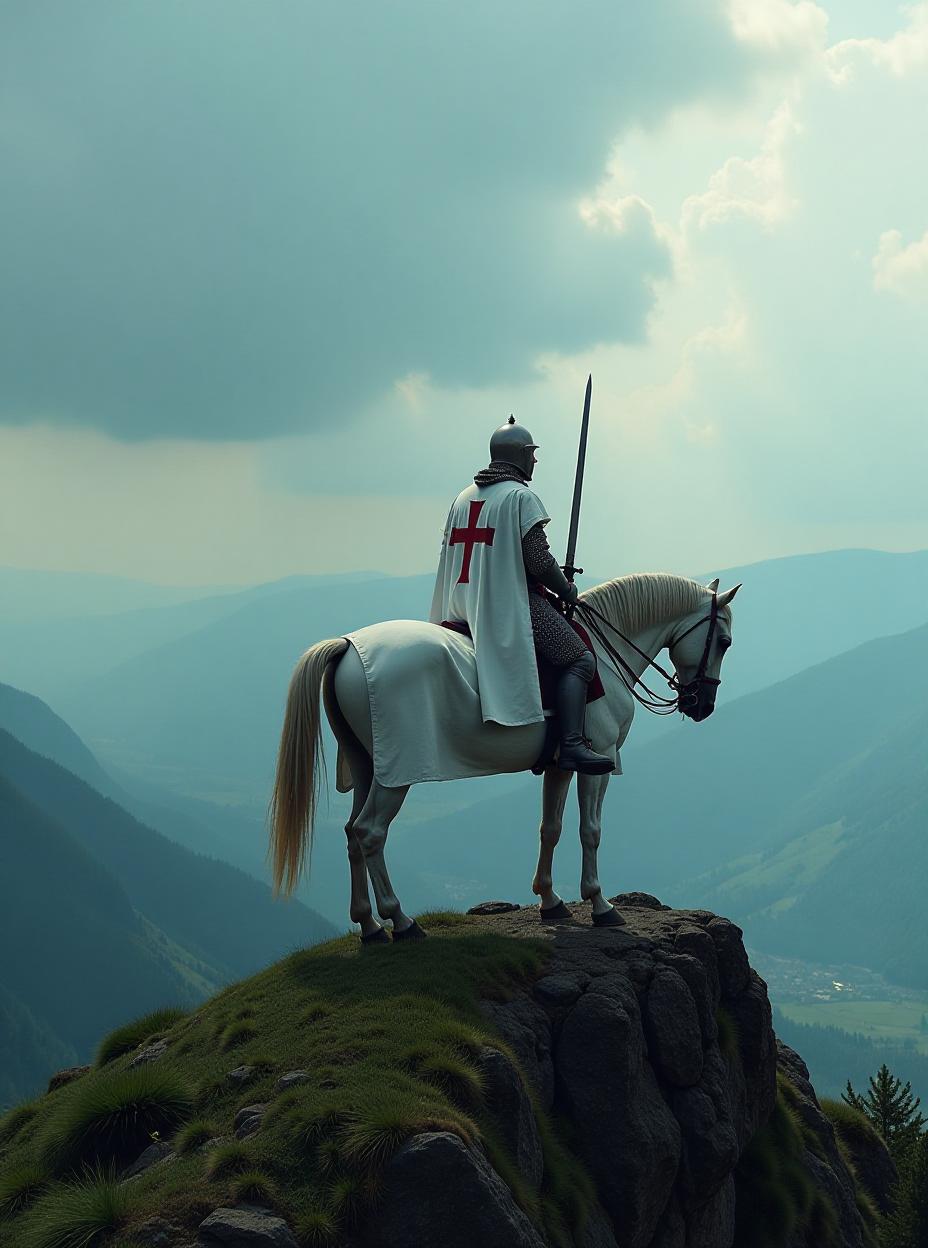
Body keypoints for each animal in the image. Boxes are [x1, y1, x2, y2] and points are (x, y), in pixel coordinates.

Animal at [266, 571, 738, 938]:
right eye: (724, 641)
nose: (703, 705)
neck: (605, 654)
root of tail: (348, 647)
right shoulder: (599, 762)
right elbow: (590, 830)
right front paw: (600, 905)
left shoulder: (562, 765)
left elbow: (551, 828)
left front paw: (550, 900)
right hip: (394, 777)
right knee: (369, 833)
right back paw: (400, 921)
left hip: (366, 767)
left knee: (351, 833)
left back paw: (369, 926)